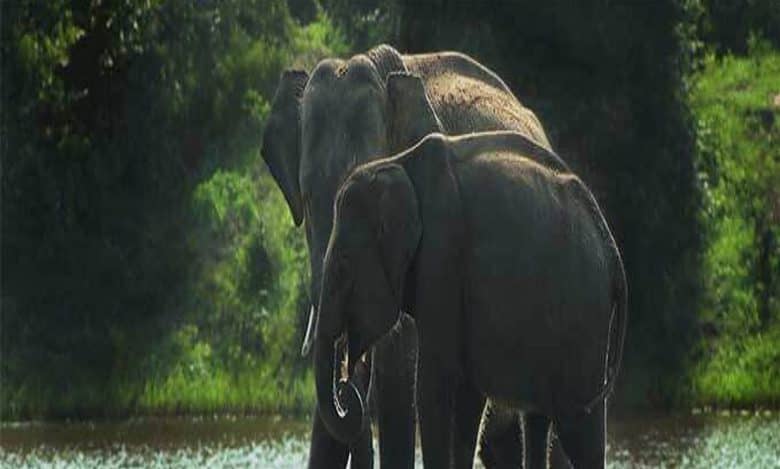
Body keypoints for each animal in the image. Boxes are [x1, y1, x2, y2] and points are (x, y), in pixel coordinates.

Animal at [313, 127, 628, 467]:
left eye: (343, 266)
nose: (345, 390)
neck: (398, 163)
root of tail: (613, 253)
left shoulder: (443, 251)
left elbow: (433, 383)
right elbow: (467, 395)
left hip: (584, 322)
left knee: (580, 429)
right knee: (538, 421)